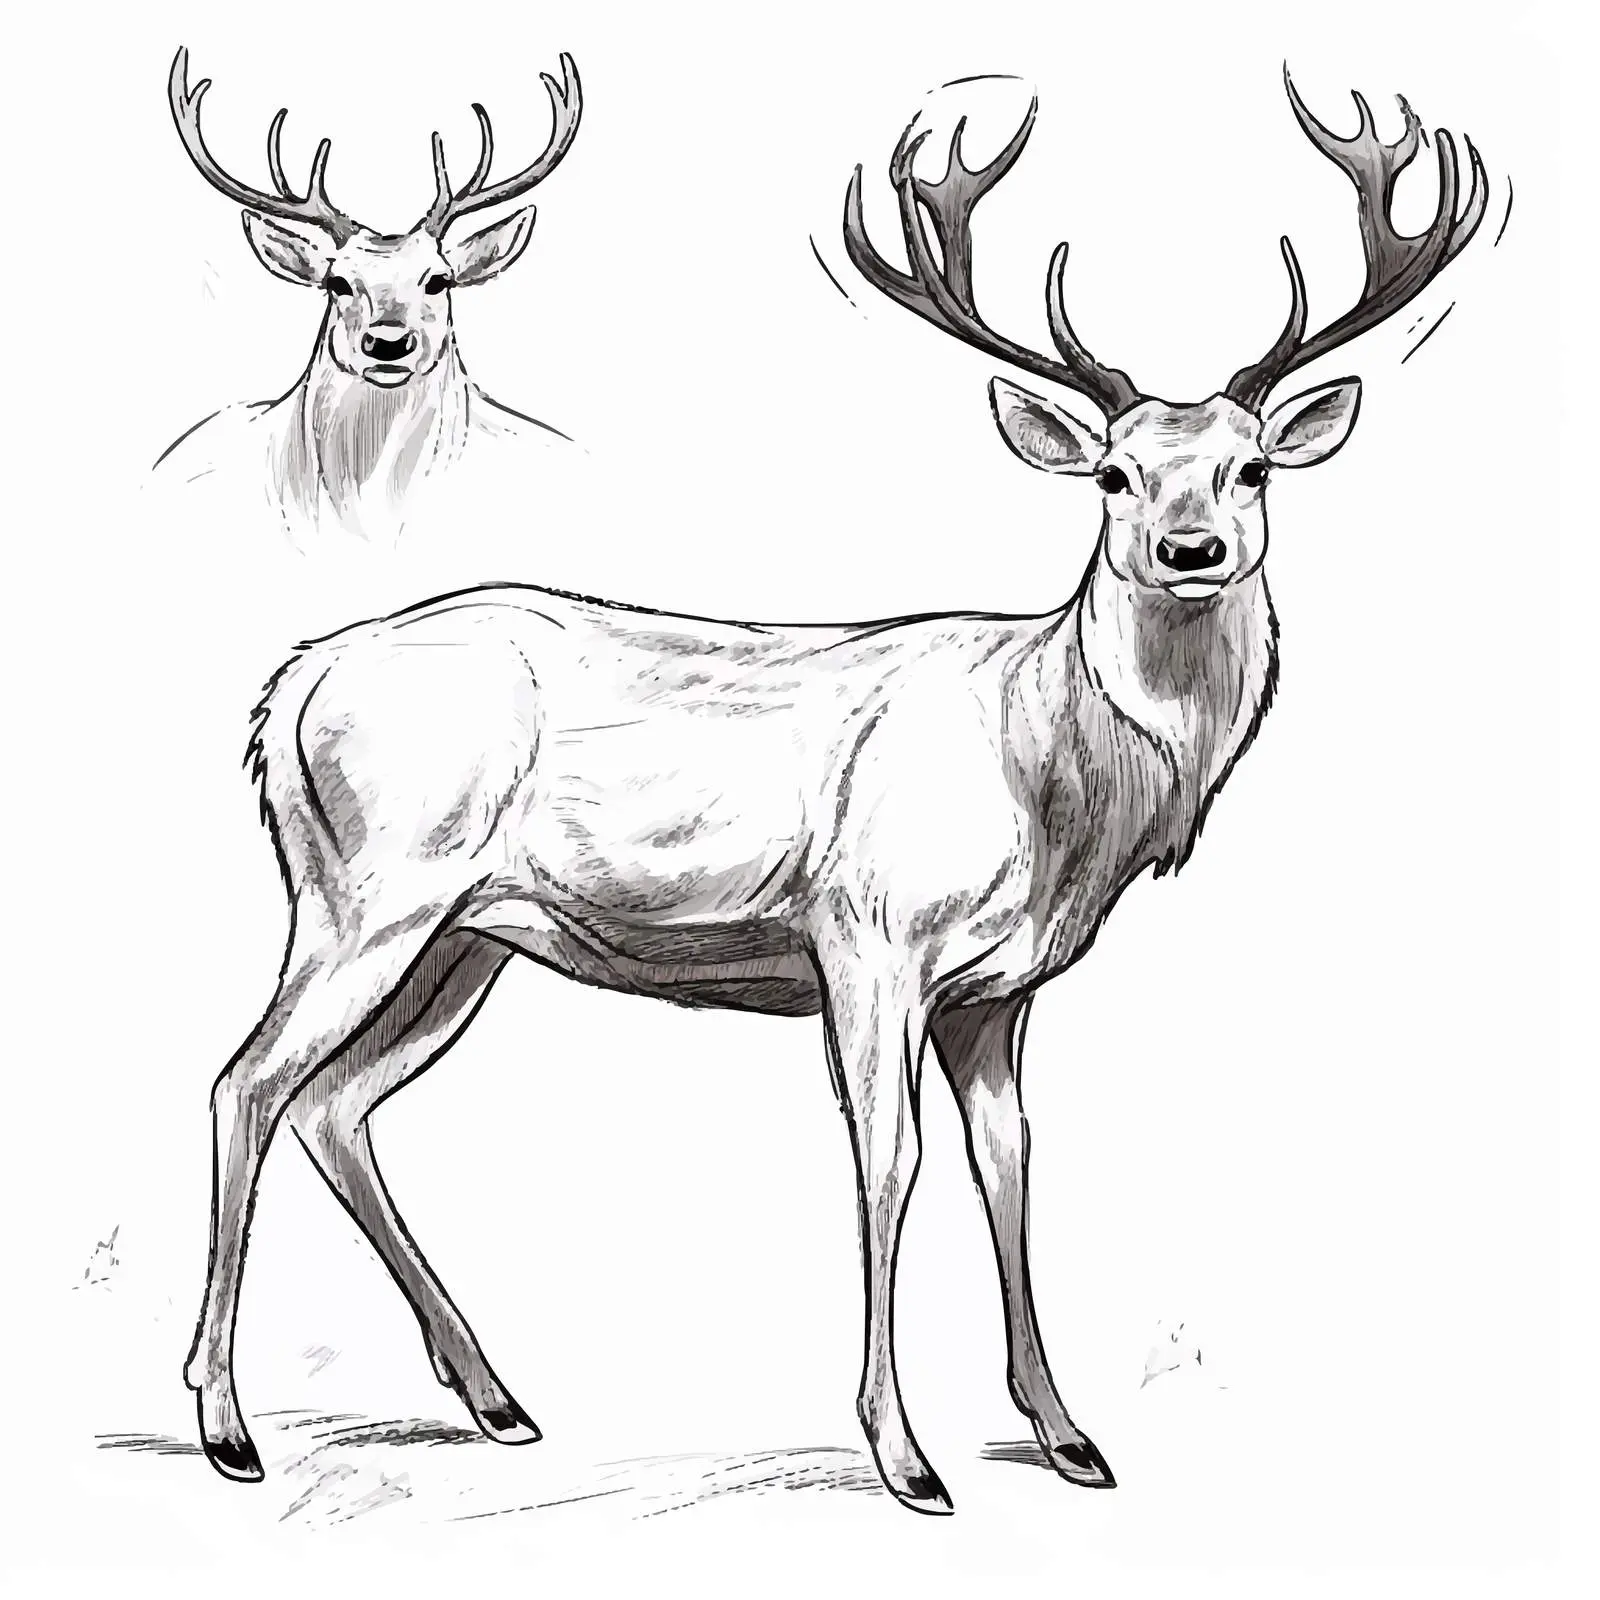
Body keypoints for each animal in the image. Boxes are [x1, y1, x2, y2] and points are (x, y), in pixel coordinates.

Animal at [184, 71, 1488, 1513]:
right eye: (1111, 474)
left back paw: (496, 1398)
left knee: (336, 1103)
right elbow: (890, 1162)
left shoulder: (1000, 990)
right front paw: (906, 1454)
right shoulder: (867, 935)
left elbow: (1011, 1167)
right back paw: (227, 1425)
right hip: (370, 889)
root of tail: (292, 685)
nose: (1190, 548)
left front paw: (1069, 1435)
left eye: (1251, 466)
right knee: (246, 1081)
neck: (1050, 773)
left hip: (465, 936)